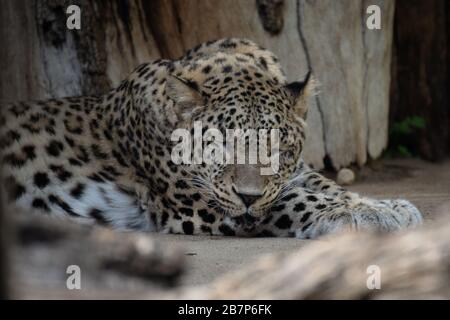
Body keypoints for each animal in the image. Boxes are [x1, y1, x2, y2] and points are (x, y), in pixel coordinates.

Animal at [0, 38, 422, 238]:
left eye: (278, 149)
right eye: (219, 145)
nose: (248, 197)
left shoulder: (297, 172)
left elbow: (324, 186)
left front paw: (388, 206)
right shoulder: (200, 203)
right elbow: (293, 200)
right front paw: (360, 214)